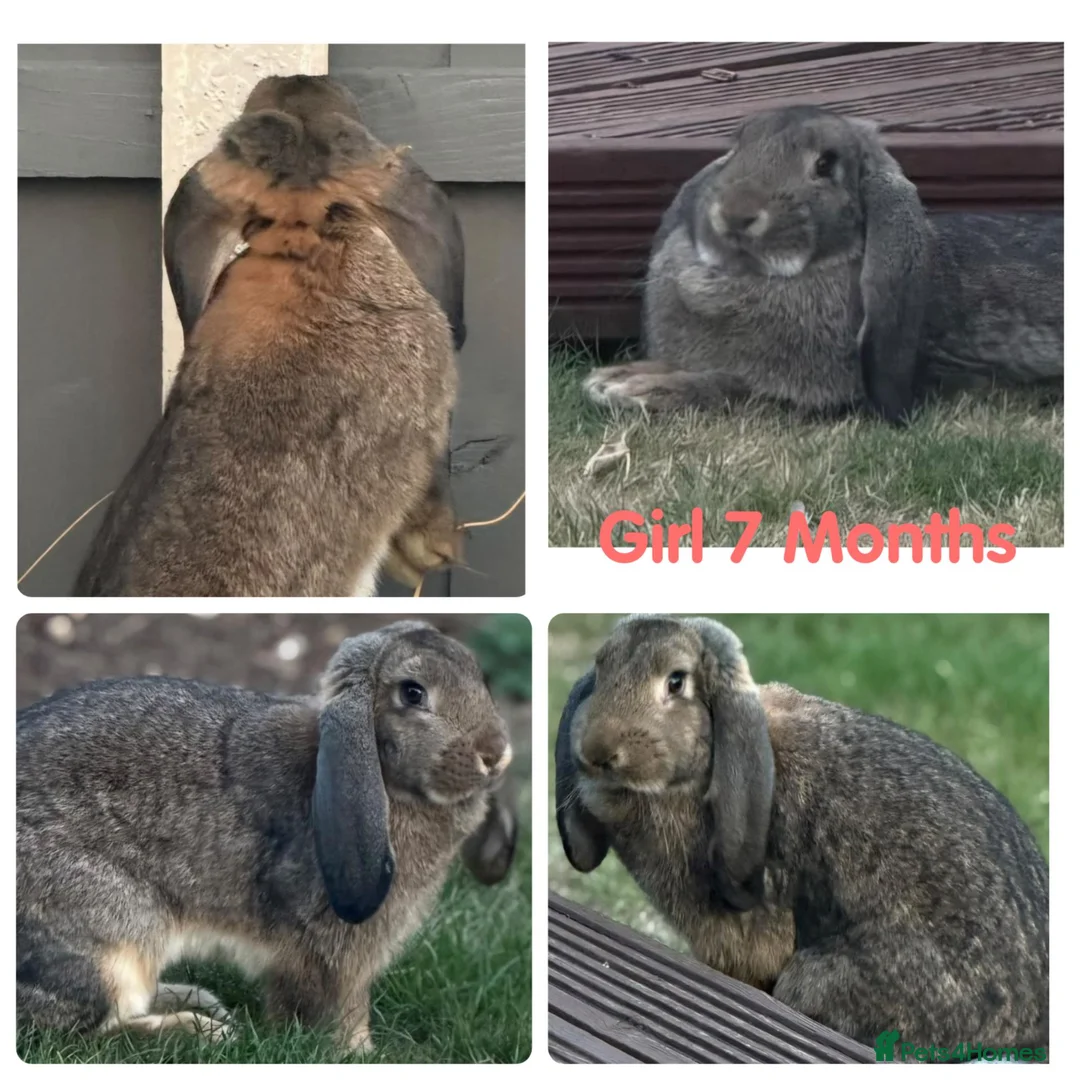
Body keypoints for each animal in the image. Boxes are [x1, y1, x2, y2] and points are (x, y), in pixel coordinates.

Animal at [17, 620, 513, 1050]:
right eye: (413, 692)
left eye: (479, 678)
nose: (497, 755)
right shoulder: (333, 950)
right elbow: (342, 1005)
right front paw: (359, 1052)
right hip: (113, 943)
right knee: (87, 1029)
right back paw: (201, 1029)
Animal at [584, 105, 1063, 423]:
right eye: (738, 145)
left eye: (826, 163)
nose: (736, 214)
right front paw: (615, 376)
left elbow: (721, 385)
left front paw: (629, 387)